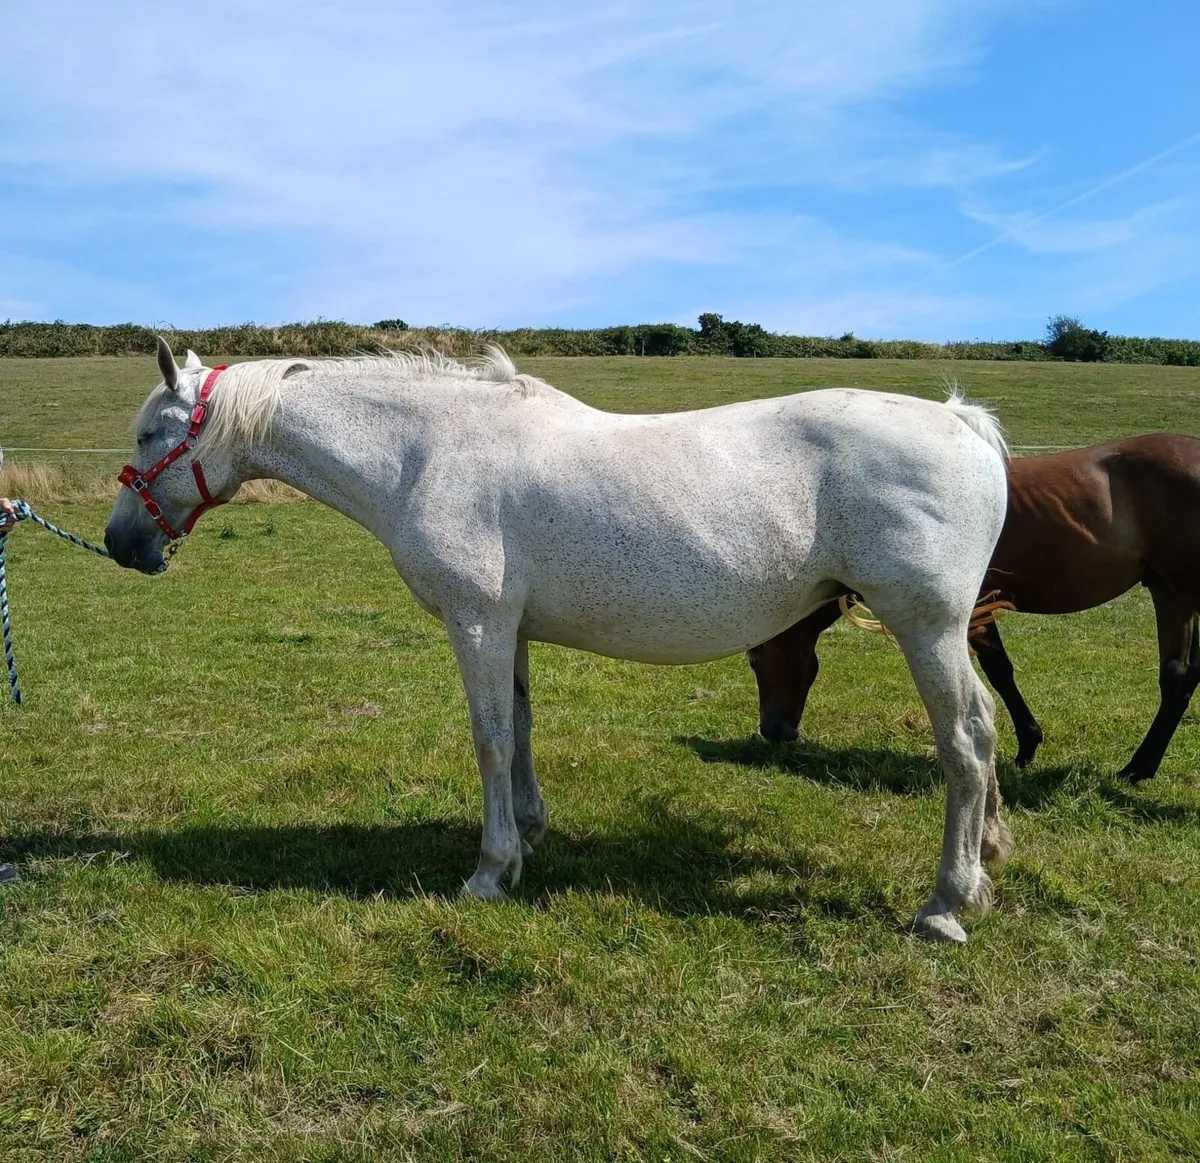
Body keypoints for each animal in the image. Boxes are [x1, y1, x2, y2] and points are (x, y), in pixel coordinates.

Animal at [105, 339, 1008, 943]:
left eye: (150, 435)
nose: (120, 544)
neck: (425, 451)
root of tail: (961, 424)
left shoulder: (475, 620)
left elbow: (490, 738)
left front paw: (488, 870)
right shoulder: (509, 627)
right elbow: (522, 726)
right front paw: (530, 835)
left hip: (925, 626)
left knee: (964, 742)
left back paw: (944, 904)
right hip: (947, 632)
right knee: (987, 729)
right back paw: (984, 865)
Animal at [749, 434, 1200, 783]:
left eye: (753, 661)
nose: (773, 730)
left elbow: (998, 670)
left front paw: (1027, 744)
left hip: (1177, 592)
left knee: (1176, 678)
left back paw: (1137, 767)